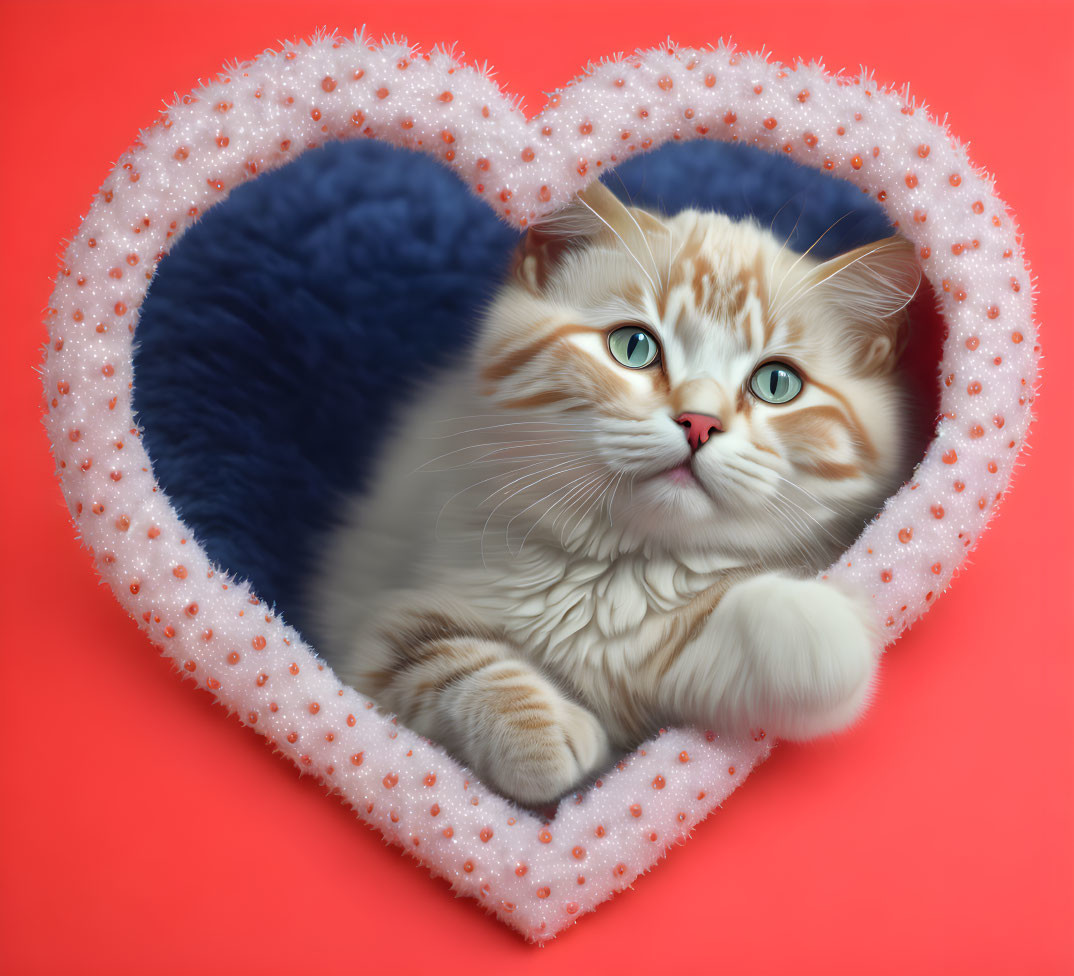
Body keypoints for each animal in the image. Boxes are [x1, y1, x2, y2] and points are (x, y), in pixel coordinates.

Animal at [307, 179, 919, 803]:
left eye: (777, 382)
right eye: (634, 347)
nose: (699, 422)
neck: (615, 570)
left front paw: (828, 630)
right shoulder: (377, 630)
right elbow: (447, 659)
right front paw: (541, 740)